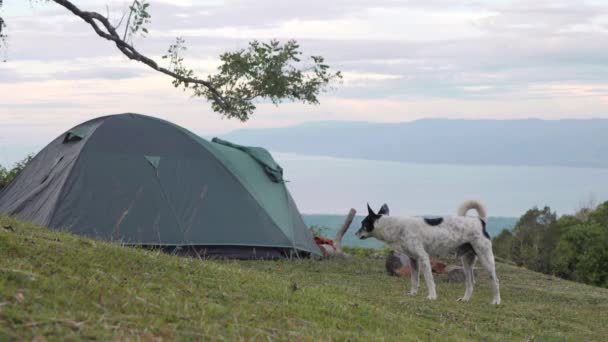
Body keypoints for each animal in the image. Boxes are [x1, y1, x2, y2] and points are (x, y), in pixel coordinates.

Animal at [354, 200, 502, 304]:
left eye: (362, 224)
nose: (355, 234)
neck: (395, 226)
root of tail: (480, 222)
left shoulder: (423, 258)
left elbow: (429, 280)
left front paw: (432, 296)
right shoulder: (413, 260)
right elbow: (414, 280)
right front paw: (413, 294)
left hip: (486, 259)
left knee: (495, 281)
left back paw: (496, 301)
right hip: (466, 262)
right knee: (471, 283)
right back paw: (465, 299)